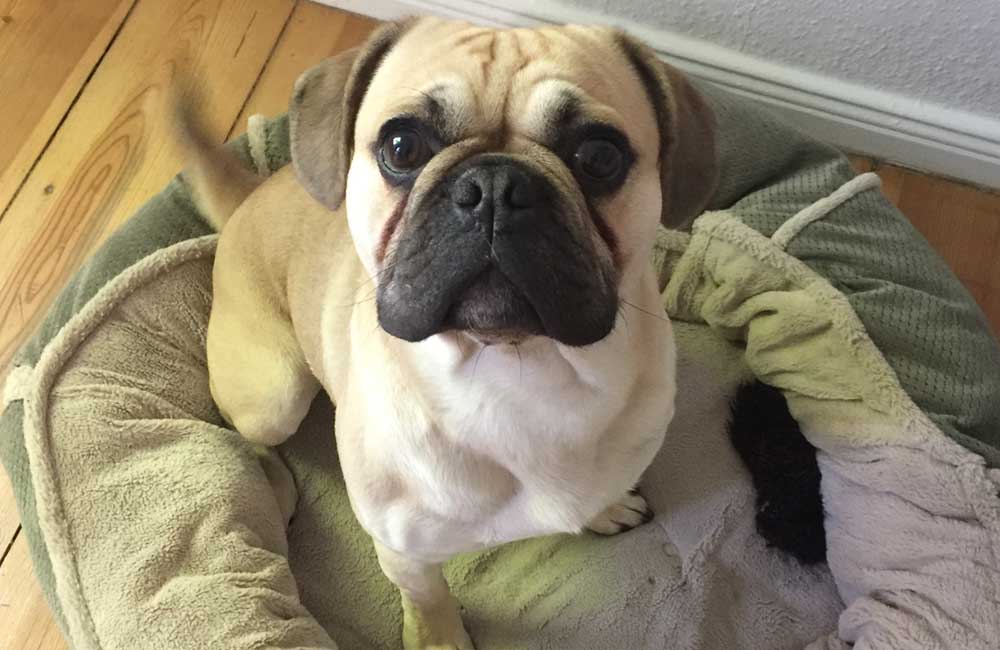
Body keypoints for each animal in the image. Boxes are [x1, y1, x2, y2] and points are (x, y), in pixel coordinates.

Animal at [179, 16, 717, 649]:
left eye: (600, 156)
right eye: (401, 147)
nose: (495, 186)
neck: (518, 370)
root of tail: (248, 198)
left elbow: (596, 491)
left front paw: (604, 509)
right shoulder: (405, 550)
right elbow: (428, 597)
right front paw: (439, 637)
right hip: (275, 397)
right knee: (253, 430)